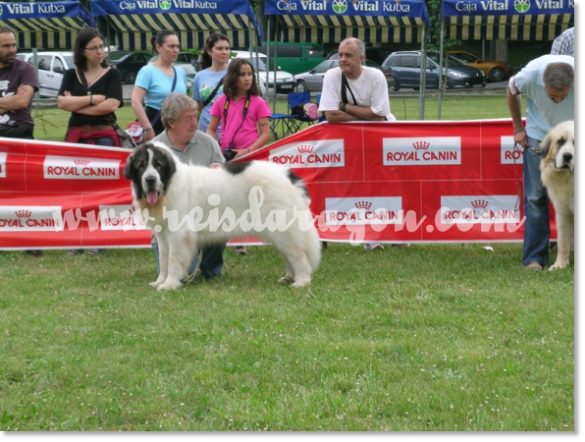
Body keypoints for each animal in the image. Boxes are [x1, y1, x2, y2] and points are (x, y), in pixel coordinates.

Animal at [123, 142, 322, 290]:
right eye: (141, 166)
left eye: (158, 165)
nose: (150, 179)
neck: (168, 186)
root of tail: (289, 175)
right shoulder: (163, 235)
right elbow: (163, 259)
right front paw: (160, 281)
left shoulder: (178, 234)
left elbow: (173, 260)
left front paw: (170, 284)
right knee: (289, 255)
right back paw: (289, 277)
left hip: (283, 228)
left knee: (298, 255)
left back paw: (301, 281)